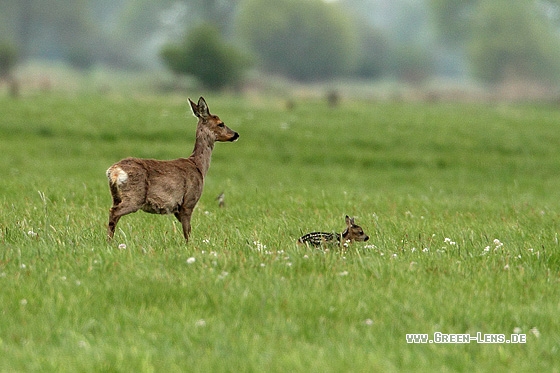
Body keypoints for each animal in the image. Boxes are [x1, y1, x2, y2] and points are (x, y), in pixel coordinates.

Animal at [105, 96, 238, 241]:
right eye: (220, 123)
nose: (236, 134)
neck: (198, 166)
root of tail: (113, 171)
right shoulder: (188, 201)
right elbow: (187, 231)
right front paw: (189, 245)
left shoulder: (177, 209)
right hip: (134, 196)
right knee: (114, 212)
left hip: (116, 196)